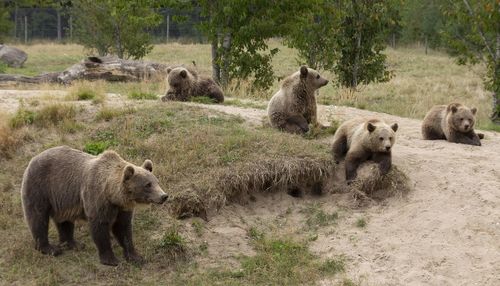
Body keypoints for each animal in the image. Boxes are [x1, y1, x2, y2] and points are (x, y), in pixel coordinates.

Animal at [20, 146, 169, 268]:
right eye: (147, 185)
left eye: (156, 181)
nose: (164, 196)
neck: (112, 194)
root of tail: (33, 158)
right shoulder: (97, 198)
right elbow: (100, 228)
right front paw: (111, 259)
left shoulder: (121, 208)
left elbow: (124, 229)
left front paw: (135, 256)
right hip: (40, 188)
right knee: (38, 217)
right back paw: (49, 248)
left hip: (62, 200)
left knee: (65, 222)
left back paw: (74, 244)